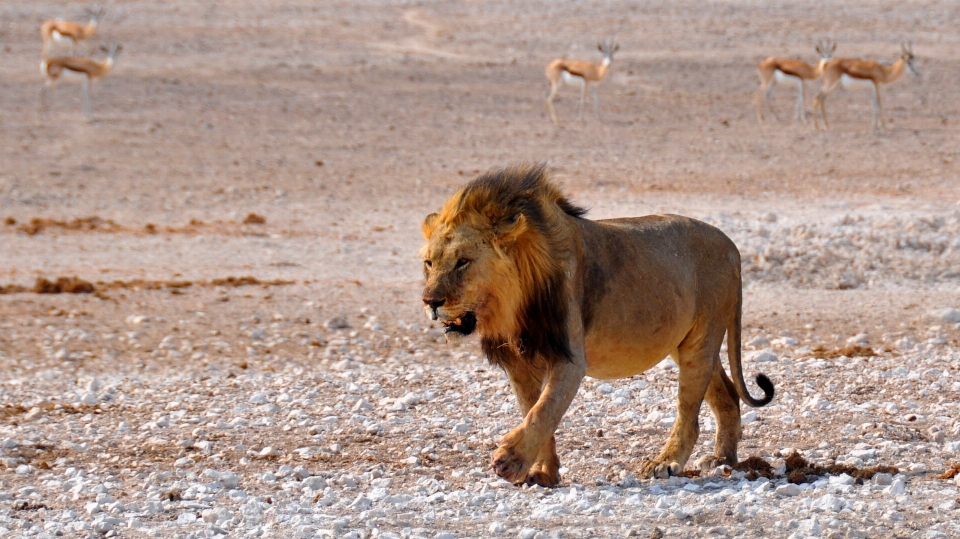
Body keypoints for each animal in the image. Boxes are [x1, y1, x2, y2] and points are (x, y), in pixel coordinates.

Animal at [420, 162, 772, 488]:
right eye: (429, 263)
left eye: (463, 262)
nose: (430, 302)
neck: (510, 305)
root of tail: (731, 246)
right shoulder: (517, 362)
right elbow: (534, 410)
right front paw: (542, 472)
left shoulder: (568, 357)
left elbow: (544, 411)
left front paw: (510, 459)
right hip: (687, 342)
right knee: (727, 394)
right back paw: (722, 459)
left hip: (700, 340)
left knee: (689, 412)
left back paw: (666, 462)